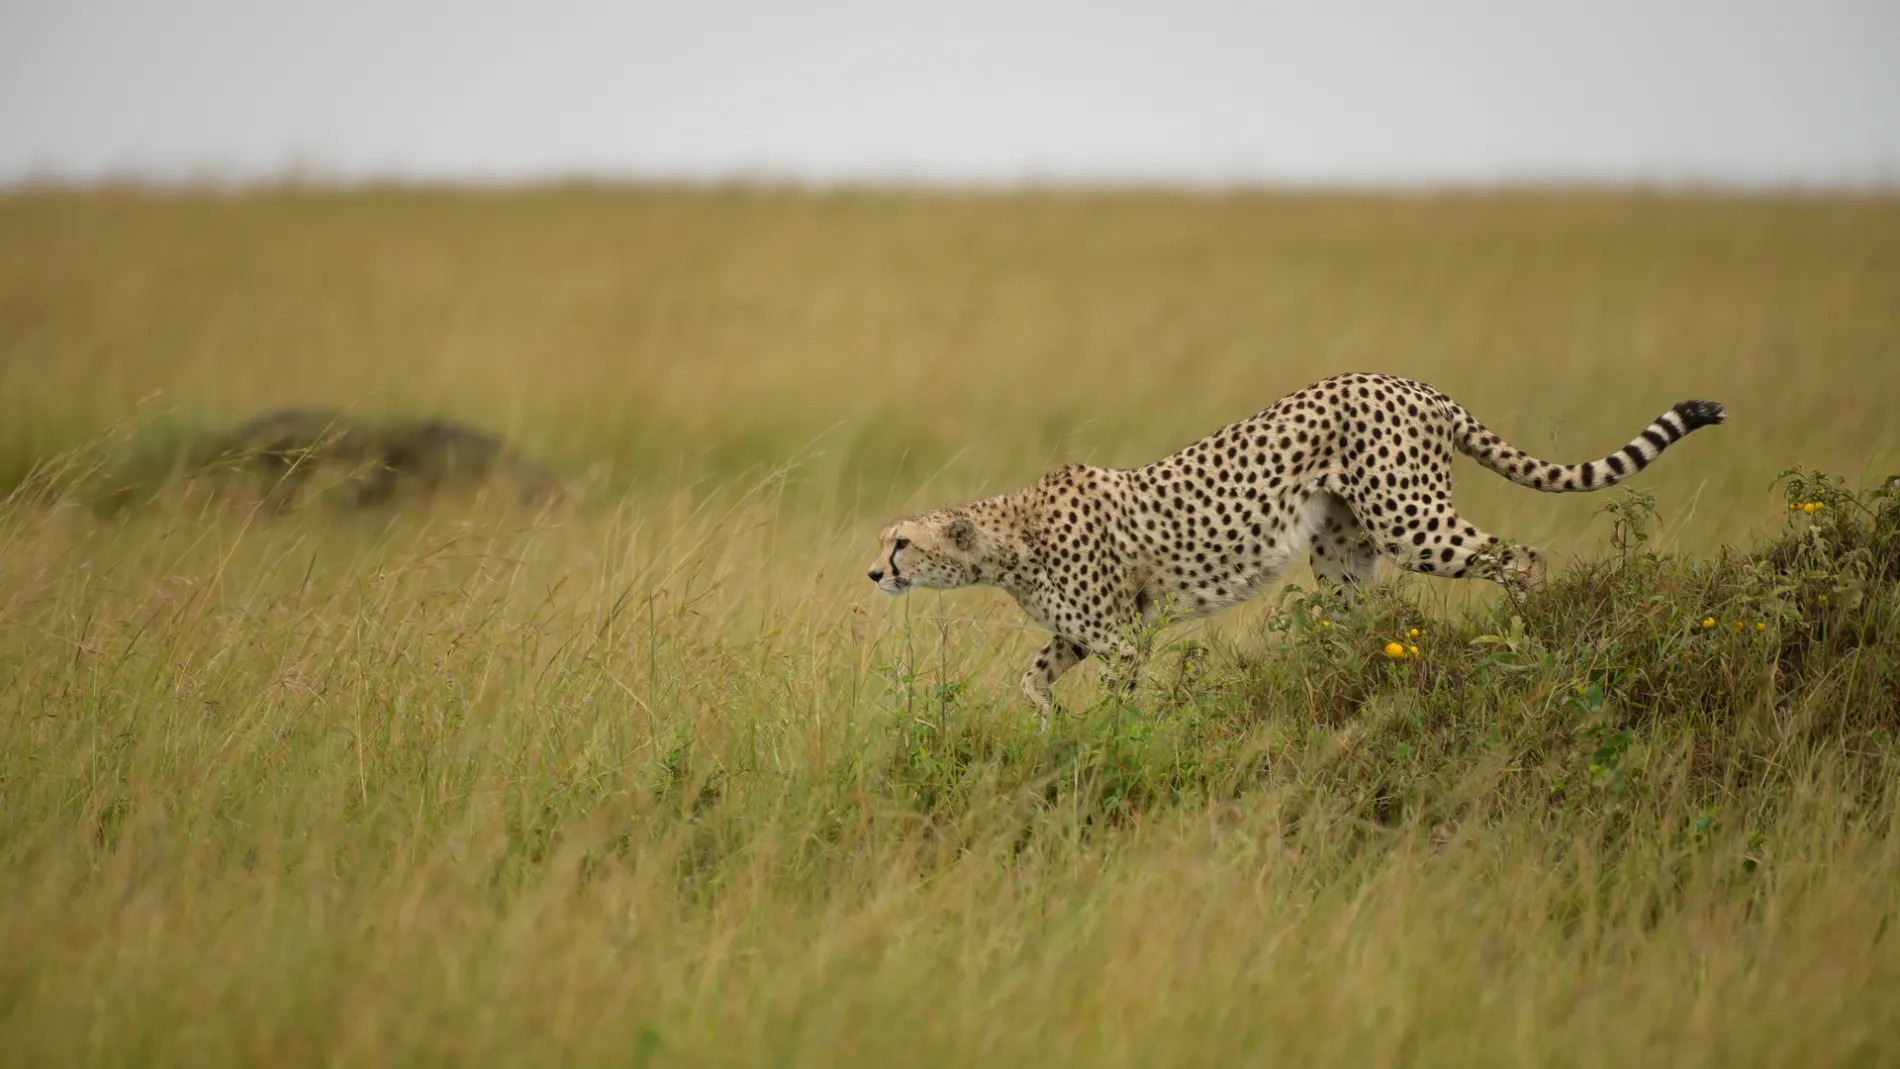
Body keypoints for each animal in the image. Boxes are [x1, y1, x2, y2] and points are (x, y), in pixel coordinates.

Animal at [870, 372, 1732, 713]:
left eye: (901, 543)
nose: (874, 571)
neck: (1008, 537)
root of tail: (1412, 383)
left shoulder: (1118, 637)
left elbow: (1119, 698)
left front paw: (1112, 734)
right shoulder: (1083, 633)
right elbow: (1033, 677)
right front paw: (1048, 717)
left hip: (1409, 516)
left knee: (1520, 555)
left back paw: (1533, 635)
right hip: (1342, 549)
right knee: (1361, 623)